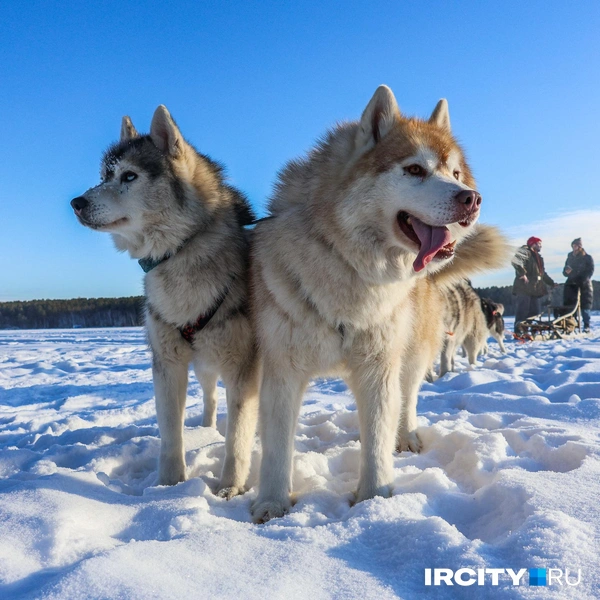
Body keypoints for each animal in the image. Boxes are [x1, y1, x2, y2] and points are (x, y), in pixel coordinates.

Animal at [70, 106, 258, 496]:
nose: (76, 203)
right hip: (203, 365)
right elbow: (171, 433)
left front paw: (230, 489)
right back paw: (206, 429)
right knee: (210, 397)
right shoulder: (167, 364)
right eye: (103, 176)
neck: (180, 251)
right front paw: (169, 488)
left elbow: (237, 439)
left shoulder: (243, 369)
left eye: (129, 175)